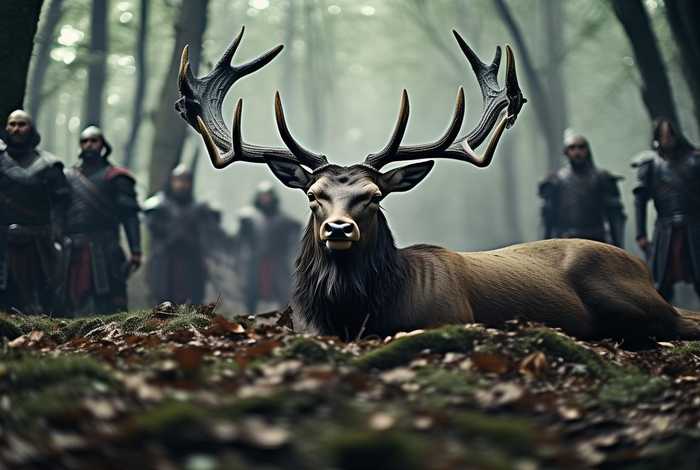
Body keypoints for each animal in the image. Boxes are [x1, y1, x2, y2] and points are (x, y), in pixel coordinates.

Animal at [175, 27, 700, 346]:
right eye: (312, 196)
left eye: (374, 197)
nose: (339, 230)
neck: (358, 313)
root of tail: (638, 264)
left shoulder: (451, 316)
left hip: (628, 295)